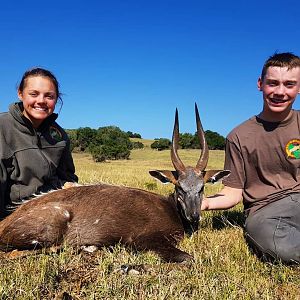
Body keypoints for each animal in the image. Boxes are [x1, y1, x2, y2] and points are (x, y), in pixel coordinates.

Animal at [0, 103, 227, 262]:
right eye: (179, 187)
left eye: (202, 187)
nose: (194, 216)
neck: (172, 209)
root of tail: (5, 223)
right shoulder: (145, 239)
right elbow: (189, 258)